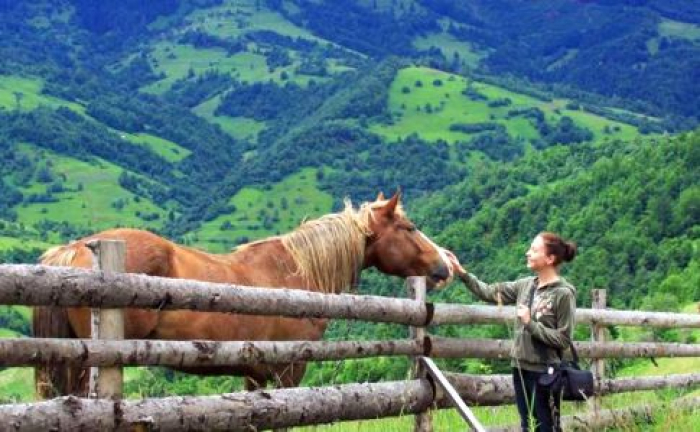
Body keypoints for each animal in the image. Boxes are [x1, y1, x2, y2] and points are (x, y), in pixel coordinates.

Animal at [32, 192, 452, 398]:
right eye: (409, 227)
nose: (445, 266)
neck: (295, 271)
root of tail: (76, 248)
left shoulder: (255, 373)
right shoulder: (287, 371)